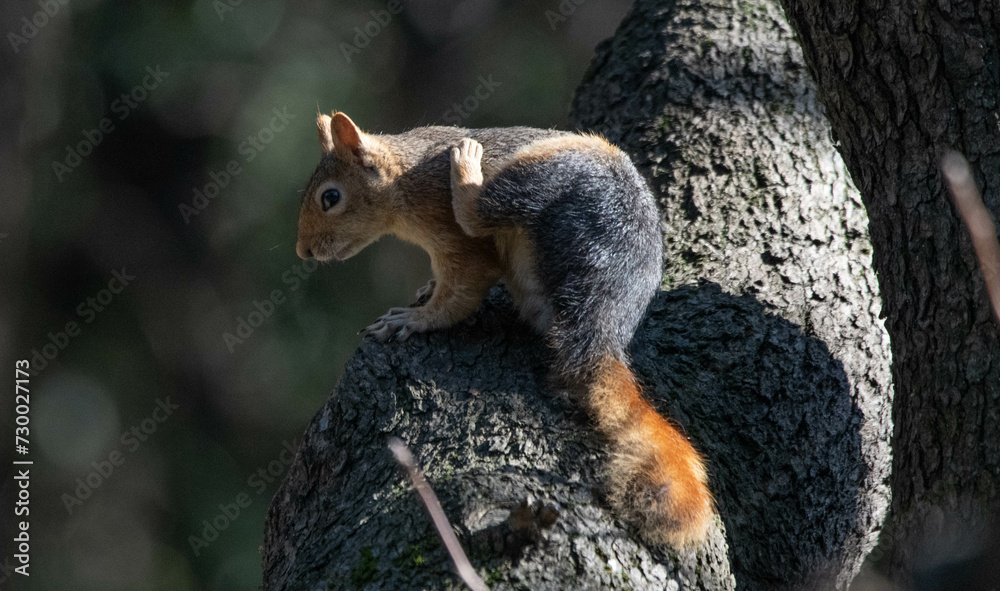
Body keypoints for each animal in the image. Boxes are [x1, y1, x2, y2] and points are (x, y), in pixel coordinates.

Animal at [295, 112, 714, 547]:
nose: (302, 251)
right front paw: (426, 290)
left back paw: (466, 168)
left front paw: (417, 319)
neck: (404, 178)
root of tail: (602, 319)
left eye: (330, 197)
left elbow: (461, 293)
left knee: (479, 211)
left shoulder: (453, 235)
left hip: (549, 180)